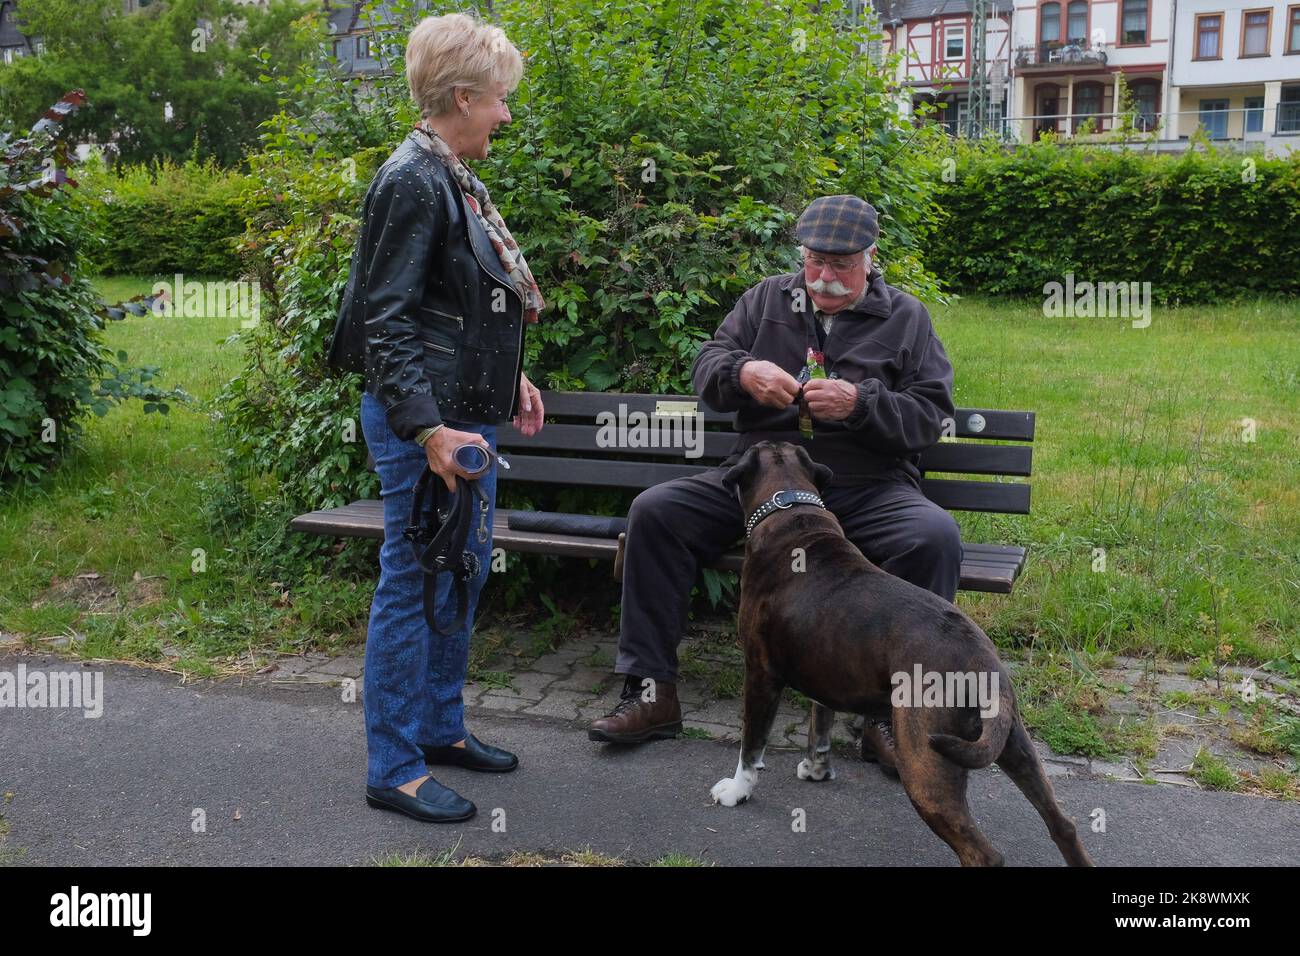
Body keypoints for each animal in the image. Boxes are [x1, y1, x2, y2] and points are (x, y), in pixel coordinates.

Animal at [712, 442, 1086, 868]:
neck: (790, 508)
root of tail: (981, 661)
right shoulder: (825, 670)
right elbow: (820, 722)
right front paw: (817, 767)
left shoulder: (760, 674)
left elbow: (751, 743)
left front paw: (737, 790)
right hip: (1014, 746)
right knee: (1062, 824)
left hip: (925, 767)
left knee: (983, 853)